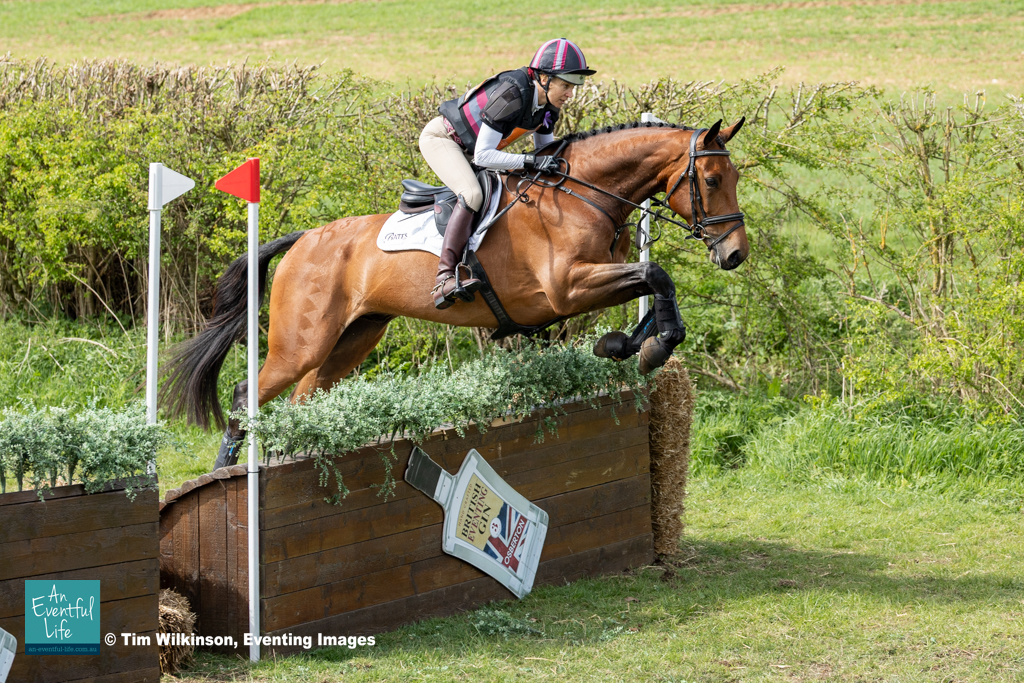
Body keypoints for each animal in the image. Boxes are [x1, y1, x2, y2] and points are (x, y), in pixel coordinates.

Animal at [162, 118, 749, 468]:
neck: (581, 195)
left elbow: (652, 283)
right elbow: (656, 275)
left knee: (305, 398)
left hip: (352, 339)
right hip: (300, 343)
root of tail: (303, 238)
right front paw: (648, 347)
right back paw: (224, 472)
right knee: (247, 395)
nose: (736, 253)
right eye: (712, 180)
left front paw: (629, 345)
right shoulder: (566, 289)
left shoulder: (594, 278)